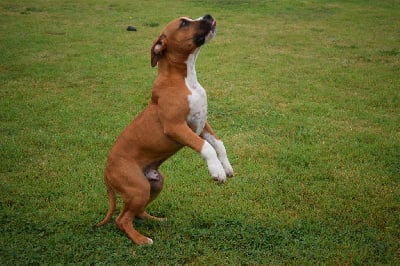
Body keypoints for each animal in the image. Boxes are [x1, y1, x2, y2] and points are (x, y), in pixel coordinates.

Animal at [95, 14, 234, 245]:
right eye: (184, 23)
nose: (208, 16)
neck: (185, 79)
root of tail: (106, 172)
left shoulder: (201, 124)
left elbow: (219, 144)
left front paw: (227, 167)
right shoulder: (176, 127)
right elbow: (206, 147)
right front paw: (217, 171)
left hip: (155, 182)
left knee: (136, 213)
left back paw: (156, 220)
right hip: (138, 188)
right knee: (122, 219)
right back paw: (141, 240)